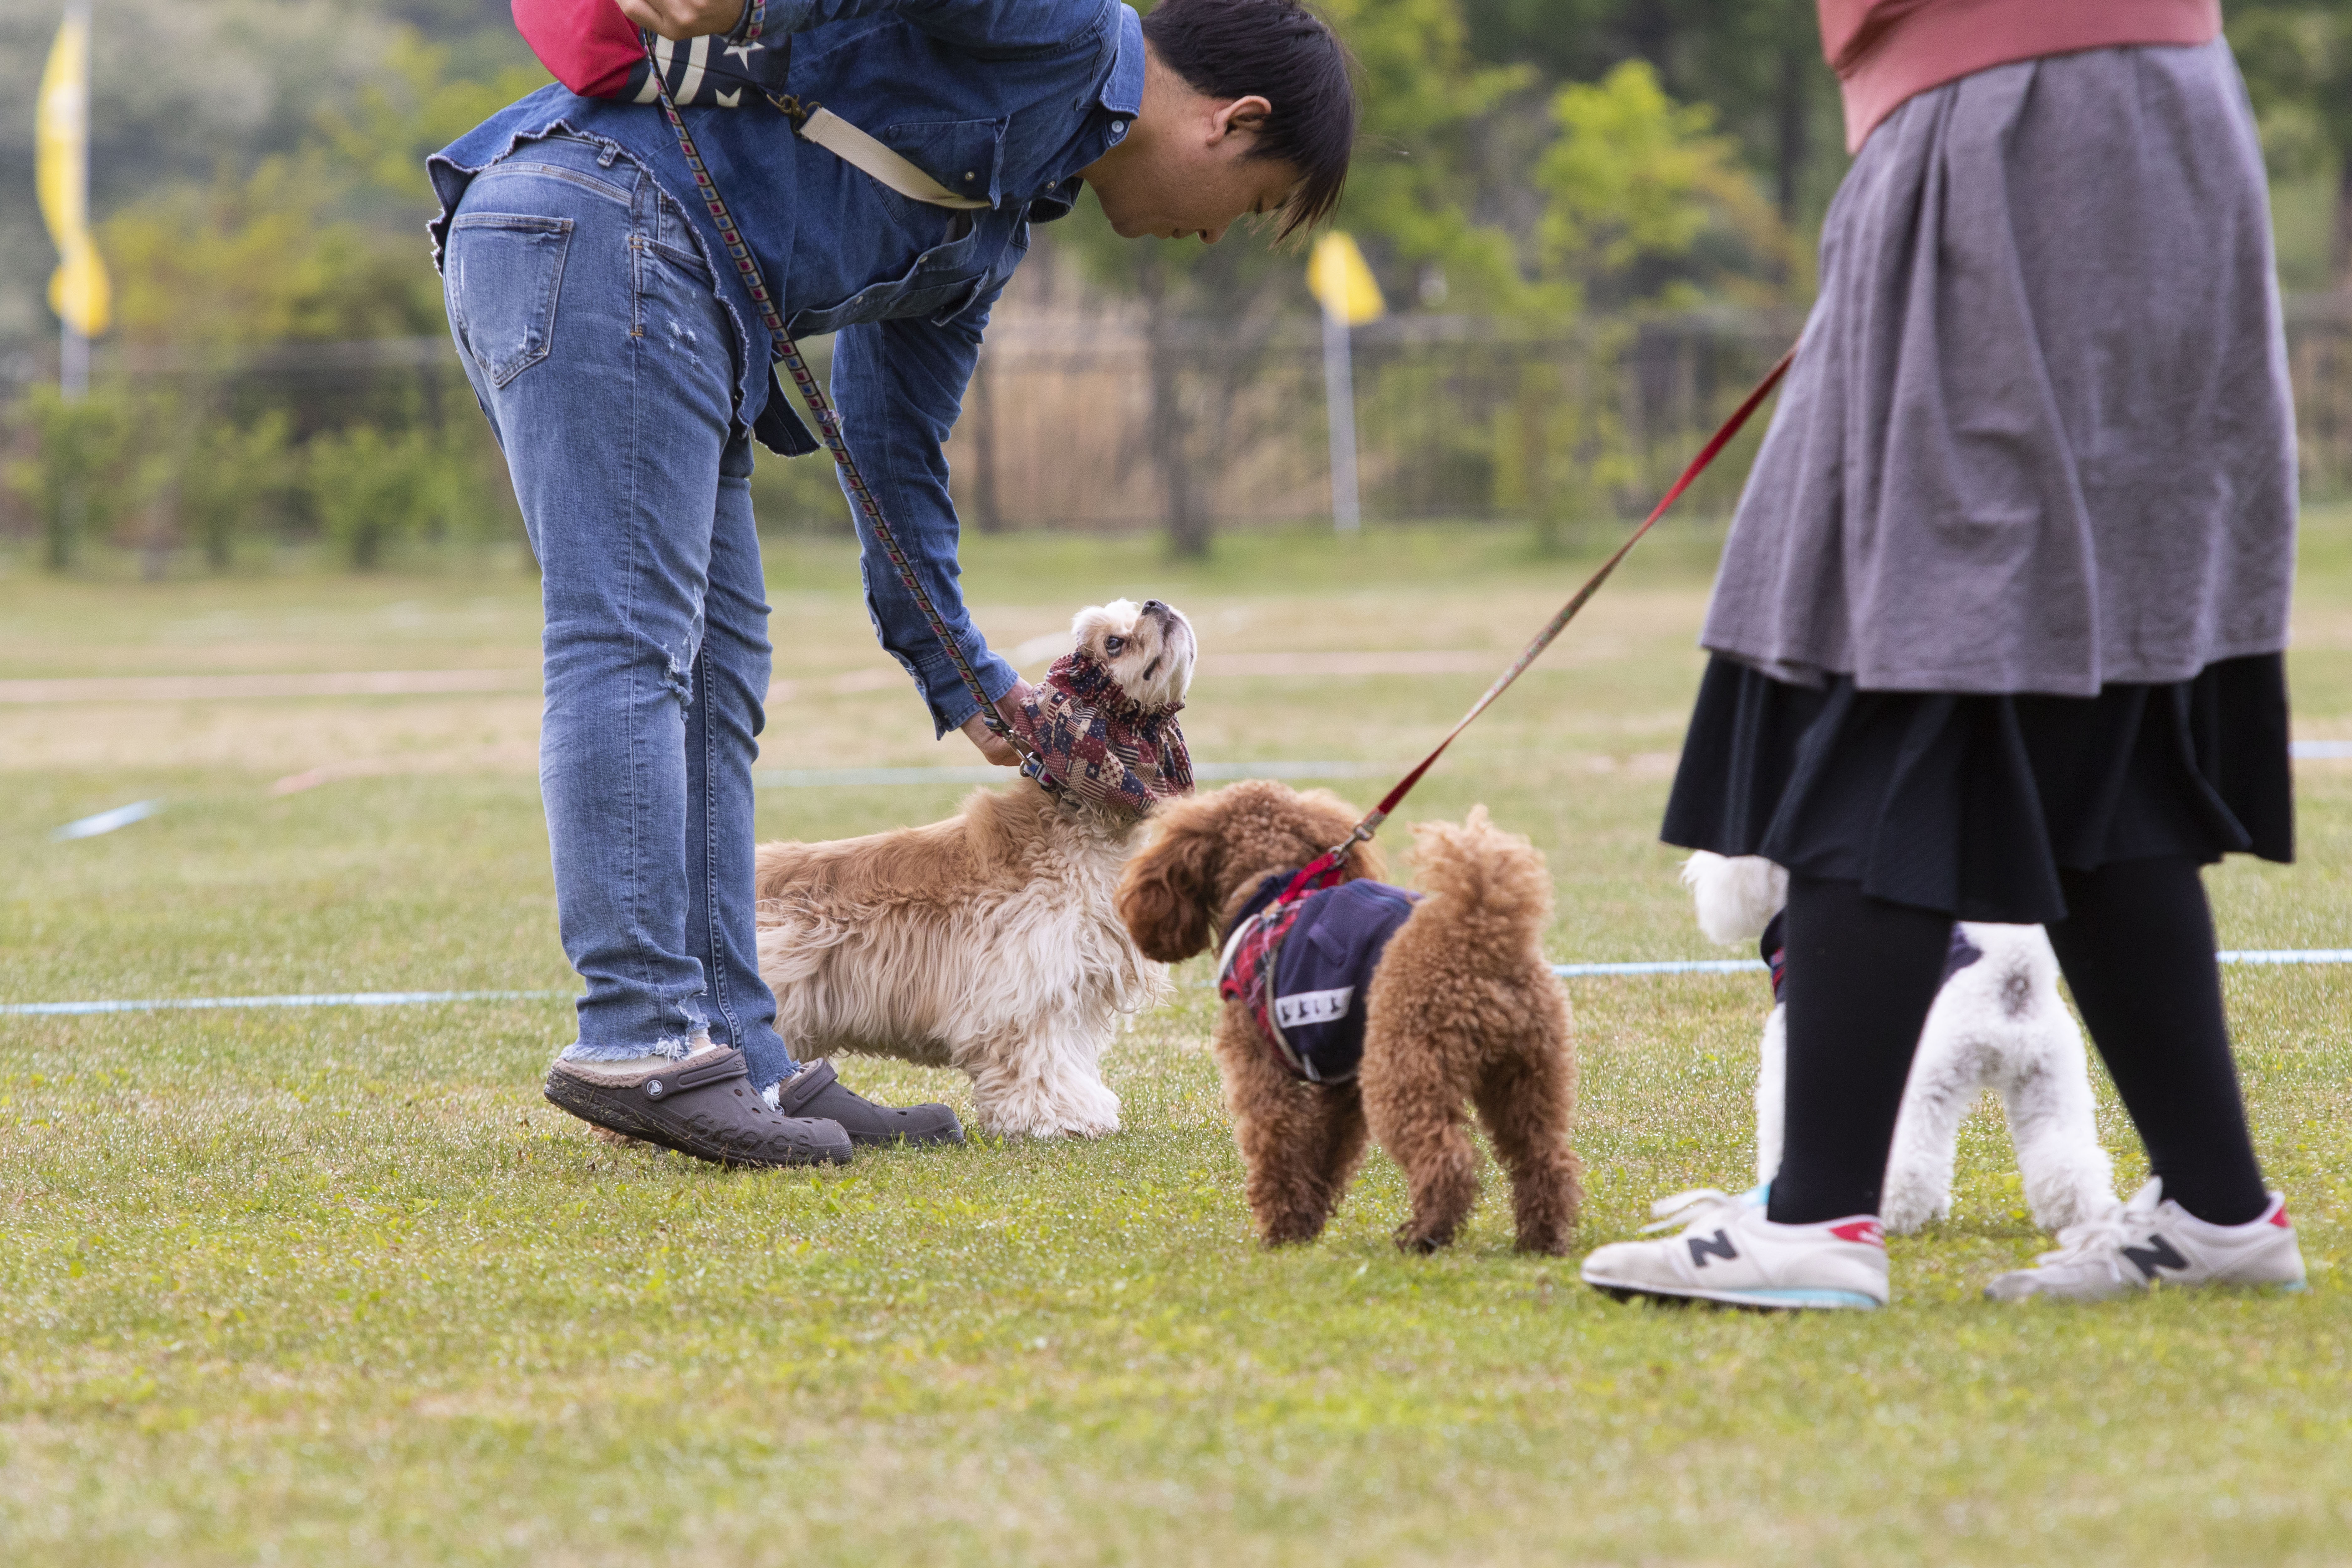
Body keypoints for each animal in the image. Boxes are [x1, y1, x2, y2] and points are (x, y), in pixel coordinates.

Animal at [1684, 851, 2126, 1232]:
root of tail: (2012, 978)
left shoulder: (1788, 1055)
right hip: (2048, 1080)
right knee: (2066, 1159)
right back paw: (2075, 1217)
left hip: (1927, 1079)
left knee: (1912, 1162)